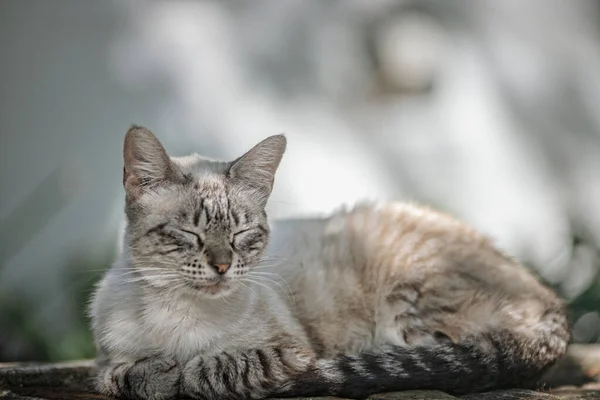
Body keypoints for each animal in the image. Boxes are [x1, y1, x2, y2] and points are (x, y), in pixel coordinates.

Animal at [89, 126, 568, 400]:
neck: (181, 317)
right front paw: (156, 372)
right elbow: (124, 375)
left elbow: (210, 371)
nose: (223, 267)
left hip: (407, 311)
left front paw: (184, 372)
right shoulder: (106, 361)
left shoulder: (291, 353)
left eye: (242, 235)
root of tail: (550, 298)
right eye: (191, 234)